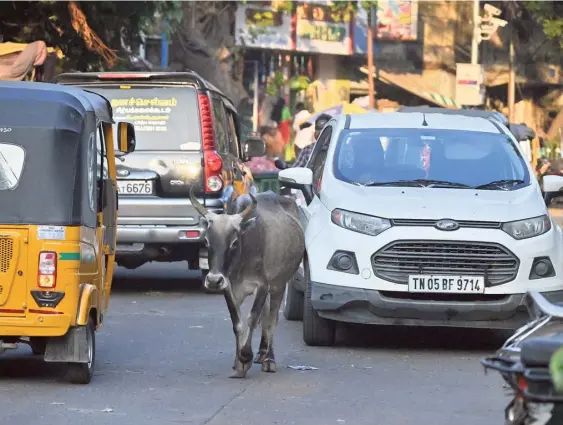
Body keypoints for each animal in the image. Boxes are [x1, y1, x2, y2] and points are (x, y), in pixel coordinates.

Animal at [189, 189, 304, 378]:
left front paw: (245, 356)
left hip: (279, 284)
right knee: (266, 315)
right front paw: (238, 364)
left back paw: (269, 359)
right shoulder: (228, 287)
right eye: (206, 241)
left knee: (272, 319)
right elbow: (237, 322)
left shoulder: (263, 286)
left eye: (234, 242)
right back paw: (261, 353)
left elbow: (252, 318)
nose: (213, 280)